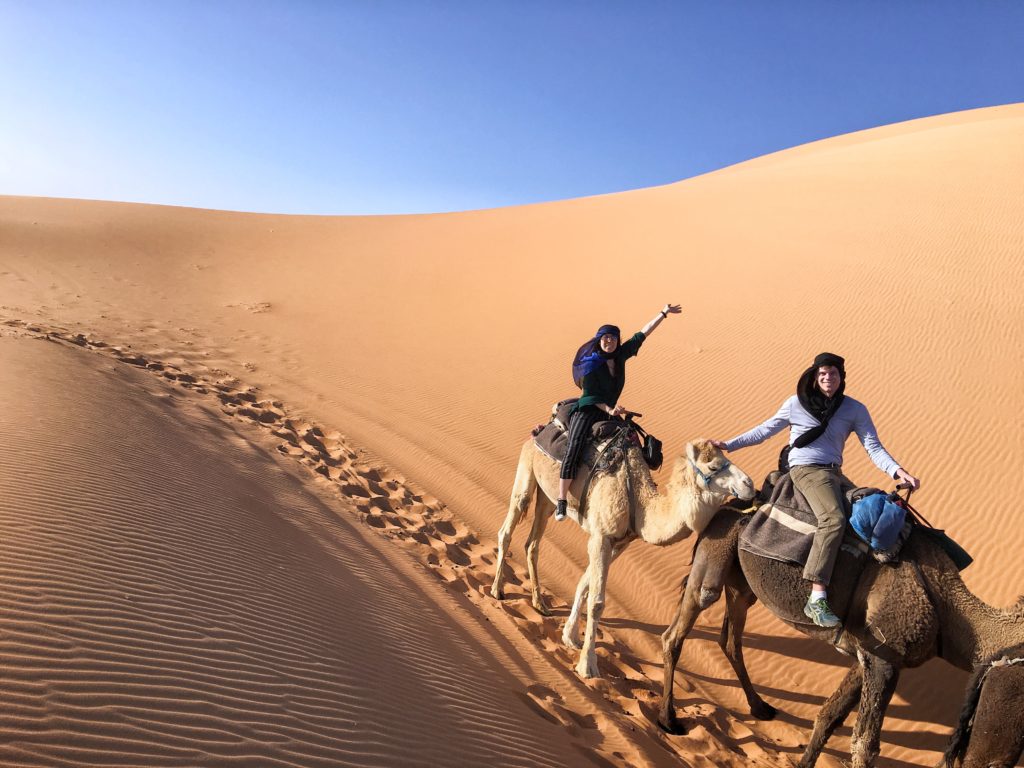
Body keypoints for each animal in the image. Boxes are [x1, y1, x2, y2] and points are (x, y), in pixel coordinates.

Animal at [491, 436, 757, 684]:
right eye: (714, 466)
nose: (750, 484)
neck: (638, 503)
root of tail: (535, 434)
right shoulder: (601, 536)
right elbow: (597, 601)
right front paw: (587, 665)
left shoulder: (620, 543)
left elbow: (585, 583)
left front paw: (570, 636)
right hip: (527, 473)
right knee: (507, 529)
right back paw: (497, 590)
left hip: (548, 497)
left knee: (533, 544)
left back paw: (539, 603)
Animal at [655, 512, 1024, 768]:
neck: (946, 608)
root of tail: (719, 514)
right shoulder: (884, 658)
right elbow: (864, 746)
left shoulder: (869, 654)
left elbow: (828, 716)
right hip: (714, 561)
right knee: (676, 633)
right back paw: (669, 720)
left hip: (742, 585)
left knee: (731, 638)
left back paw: (759, 706)